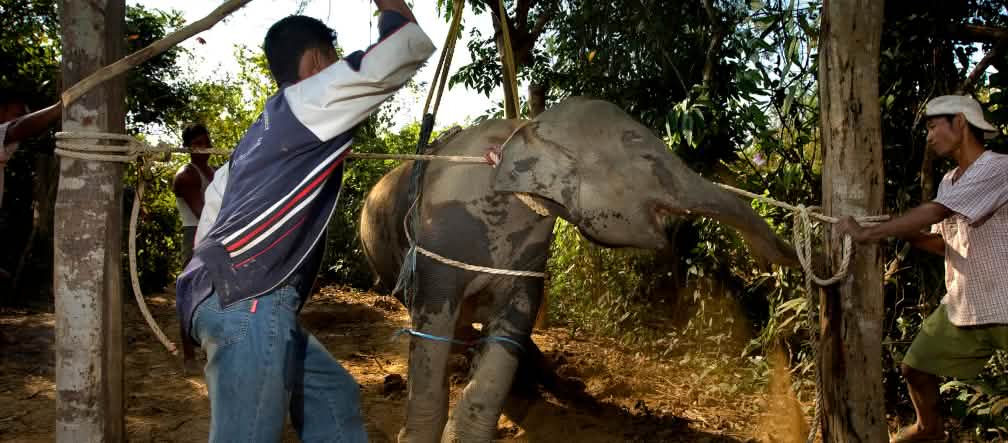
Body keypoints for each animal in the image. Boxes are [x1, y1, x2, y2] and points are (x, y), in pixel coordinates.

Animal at [359, 97, 798, 443]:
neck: (525, 128)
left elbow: (512, 327)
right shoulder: (439, 241)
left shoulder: (530, 255)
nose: (788, 255)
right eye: (641, 150)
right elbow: (431, 329)